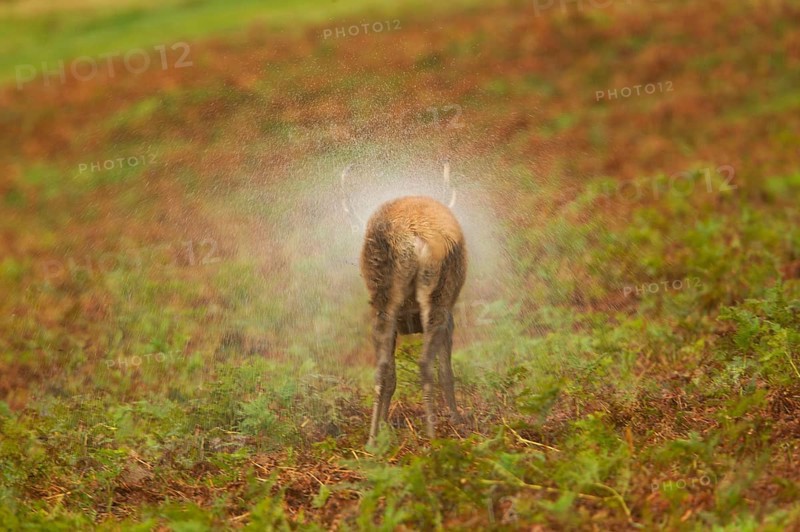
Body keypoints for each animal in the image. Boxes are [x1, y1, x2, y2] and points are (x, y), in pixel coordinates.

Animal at [341, 162, 467, 446]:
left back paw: (374, 438)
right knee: (421, 364)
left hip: (385, 298)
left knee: (383, 369)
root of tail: (416, 239)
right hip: (437, 296)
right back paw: (429, 436)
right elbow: (447, 371)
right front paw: (456, 419)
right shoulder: (450, 320)